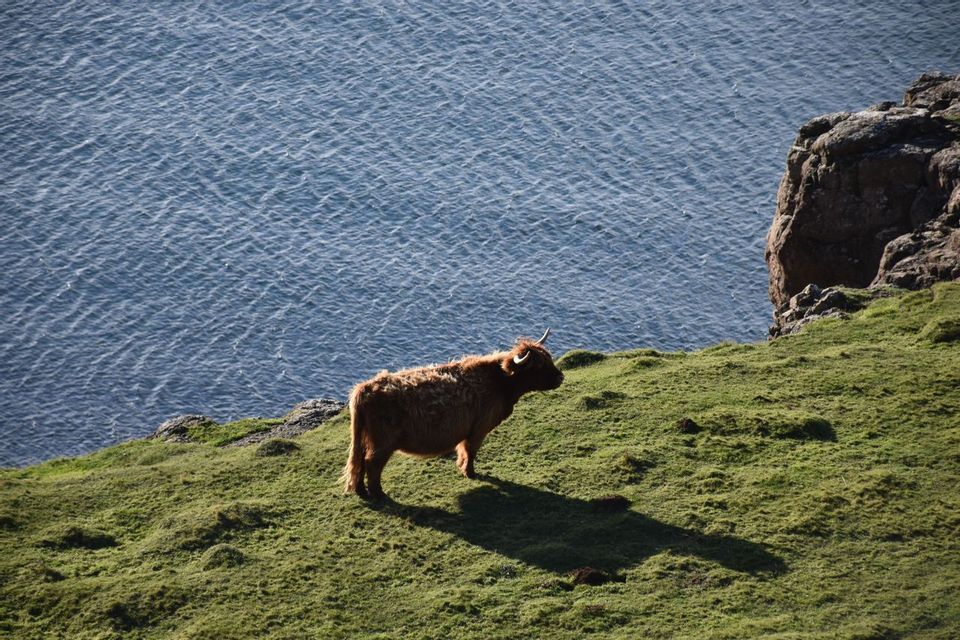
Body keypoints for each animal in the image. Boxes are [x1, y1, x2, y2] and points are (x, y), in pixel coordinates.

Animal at [341, 329, 564, 500]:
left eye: (549, 357)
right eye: (539, 365)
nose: (561, 377)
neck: (499, 383)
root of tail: (364, 388)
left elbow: (464, 450)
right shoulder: (478, 429)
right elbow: (470, 451)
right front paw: (470, 473)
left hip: (366, 438)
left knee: (359, 460)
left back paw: (361, 491)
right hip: (383, 442)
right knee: (371, 463)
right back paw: (379, 495)